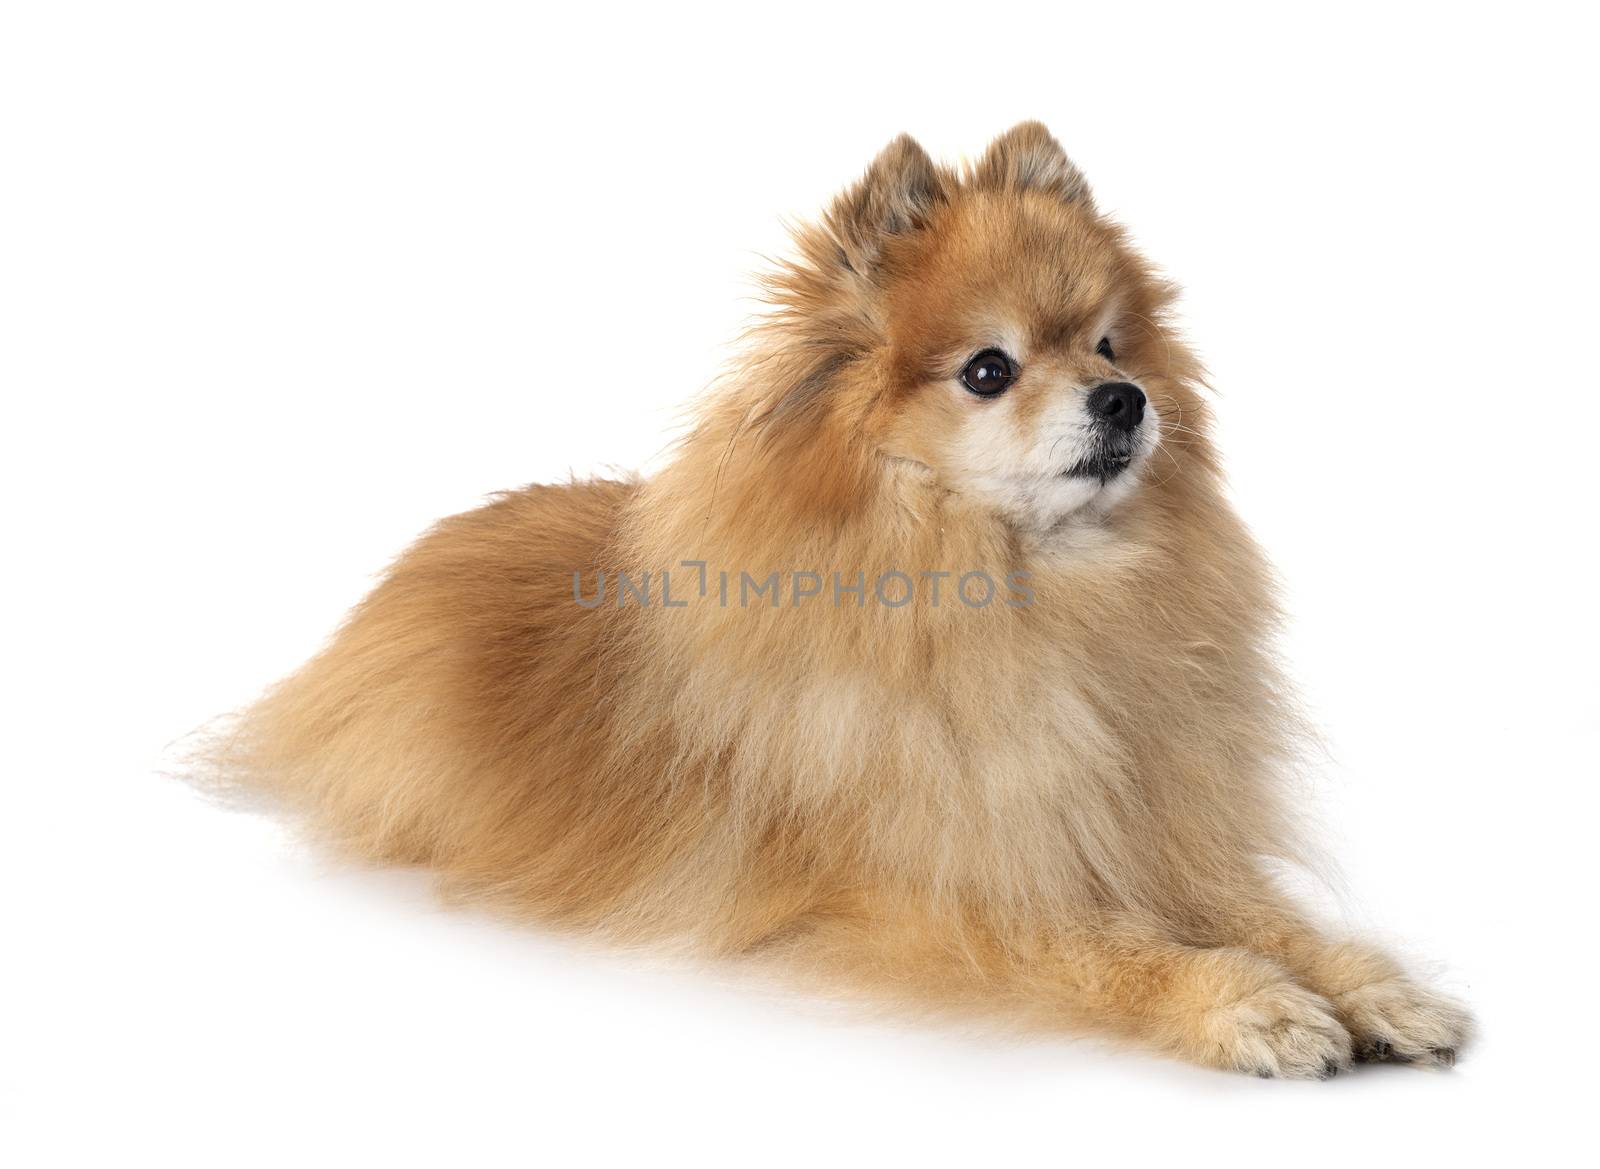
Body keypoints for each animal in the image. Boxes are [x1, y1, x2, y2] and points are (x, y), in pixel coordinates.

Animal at [203, 123, 1472, 1074]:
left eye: (1111, 346)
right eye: (988, 370)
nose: (1121, 400)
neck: (1031, 603)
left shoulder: (1148, 832)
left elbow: (1274, 914)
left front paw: (1373, 985)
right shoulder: (937, 885)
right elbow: (1106, 947)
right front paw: (1244, 1001)